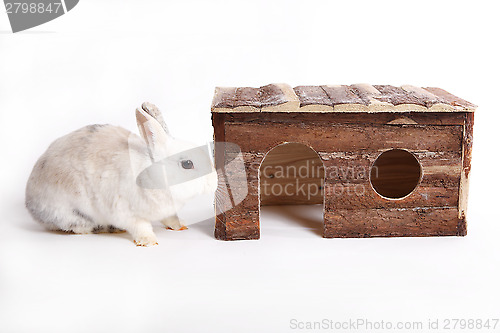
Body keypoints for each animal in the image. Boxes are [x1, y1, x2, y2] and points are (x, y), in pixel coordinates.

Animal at [25, 102, 217, 245]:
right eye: (187, 164)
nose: (214, 181)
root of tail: (30, 204)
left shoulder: (167, 211)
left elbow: (171, 218)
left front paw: (180, 226)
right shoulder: (126, 210)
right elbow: (141, 226)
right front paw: (149, 241)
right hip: (70, 211)